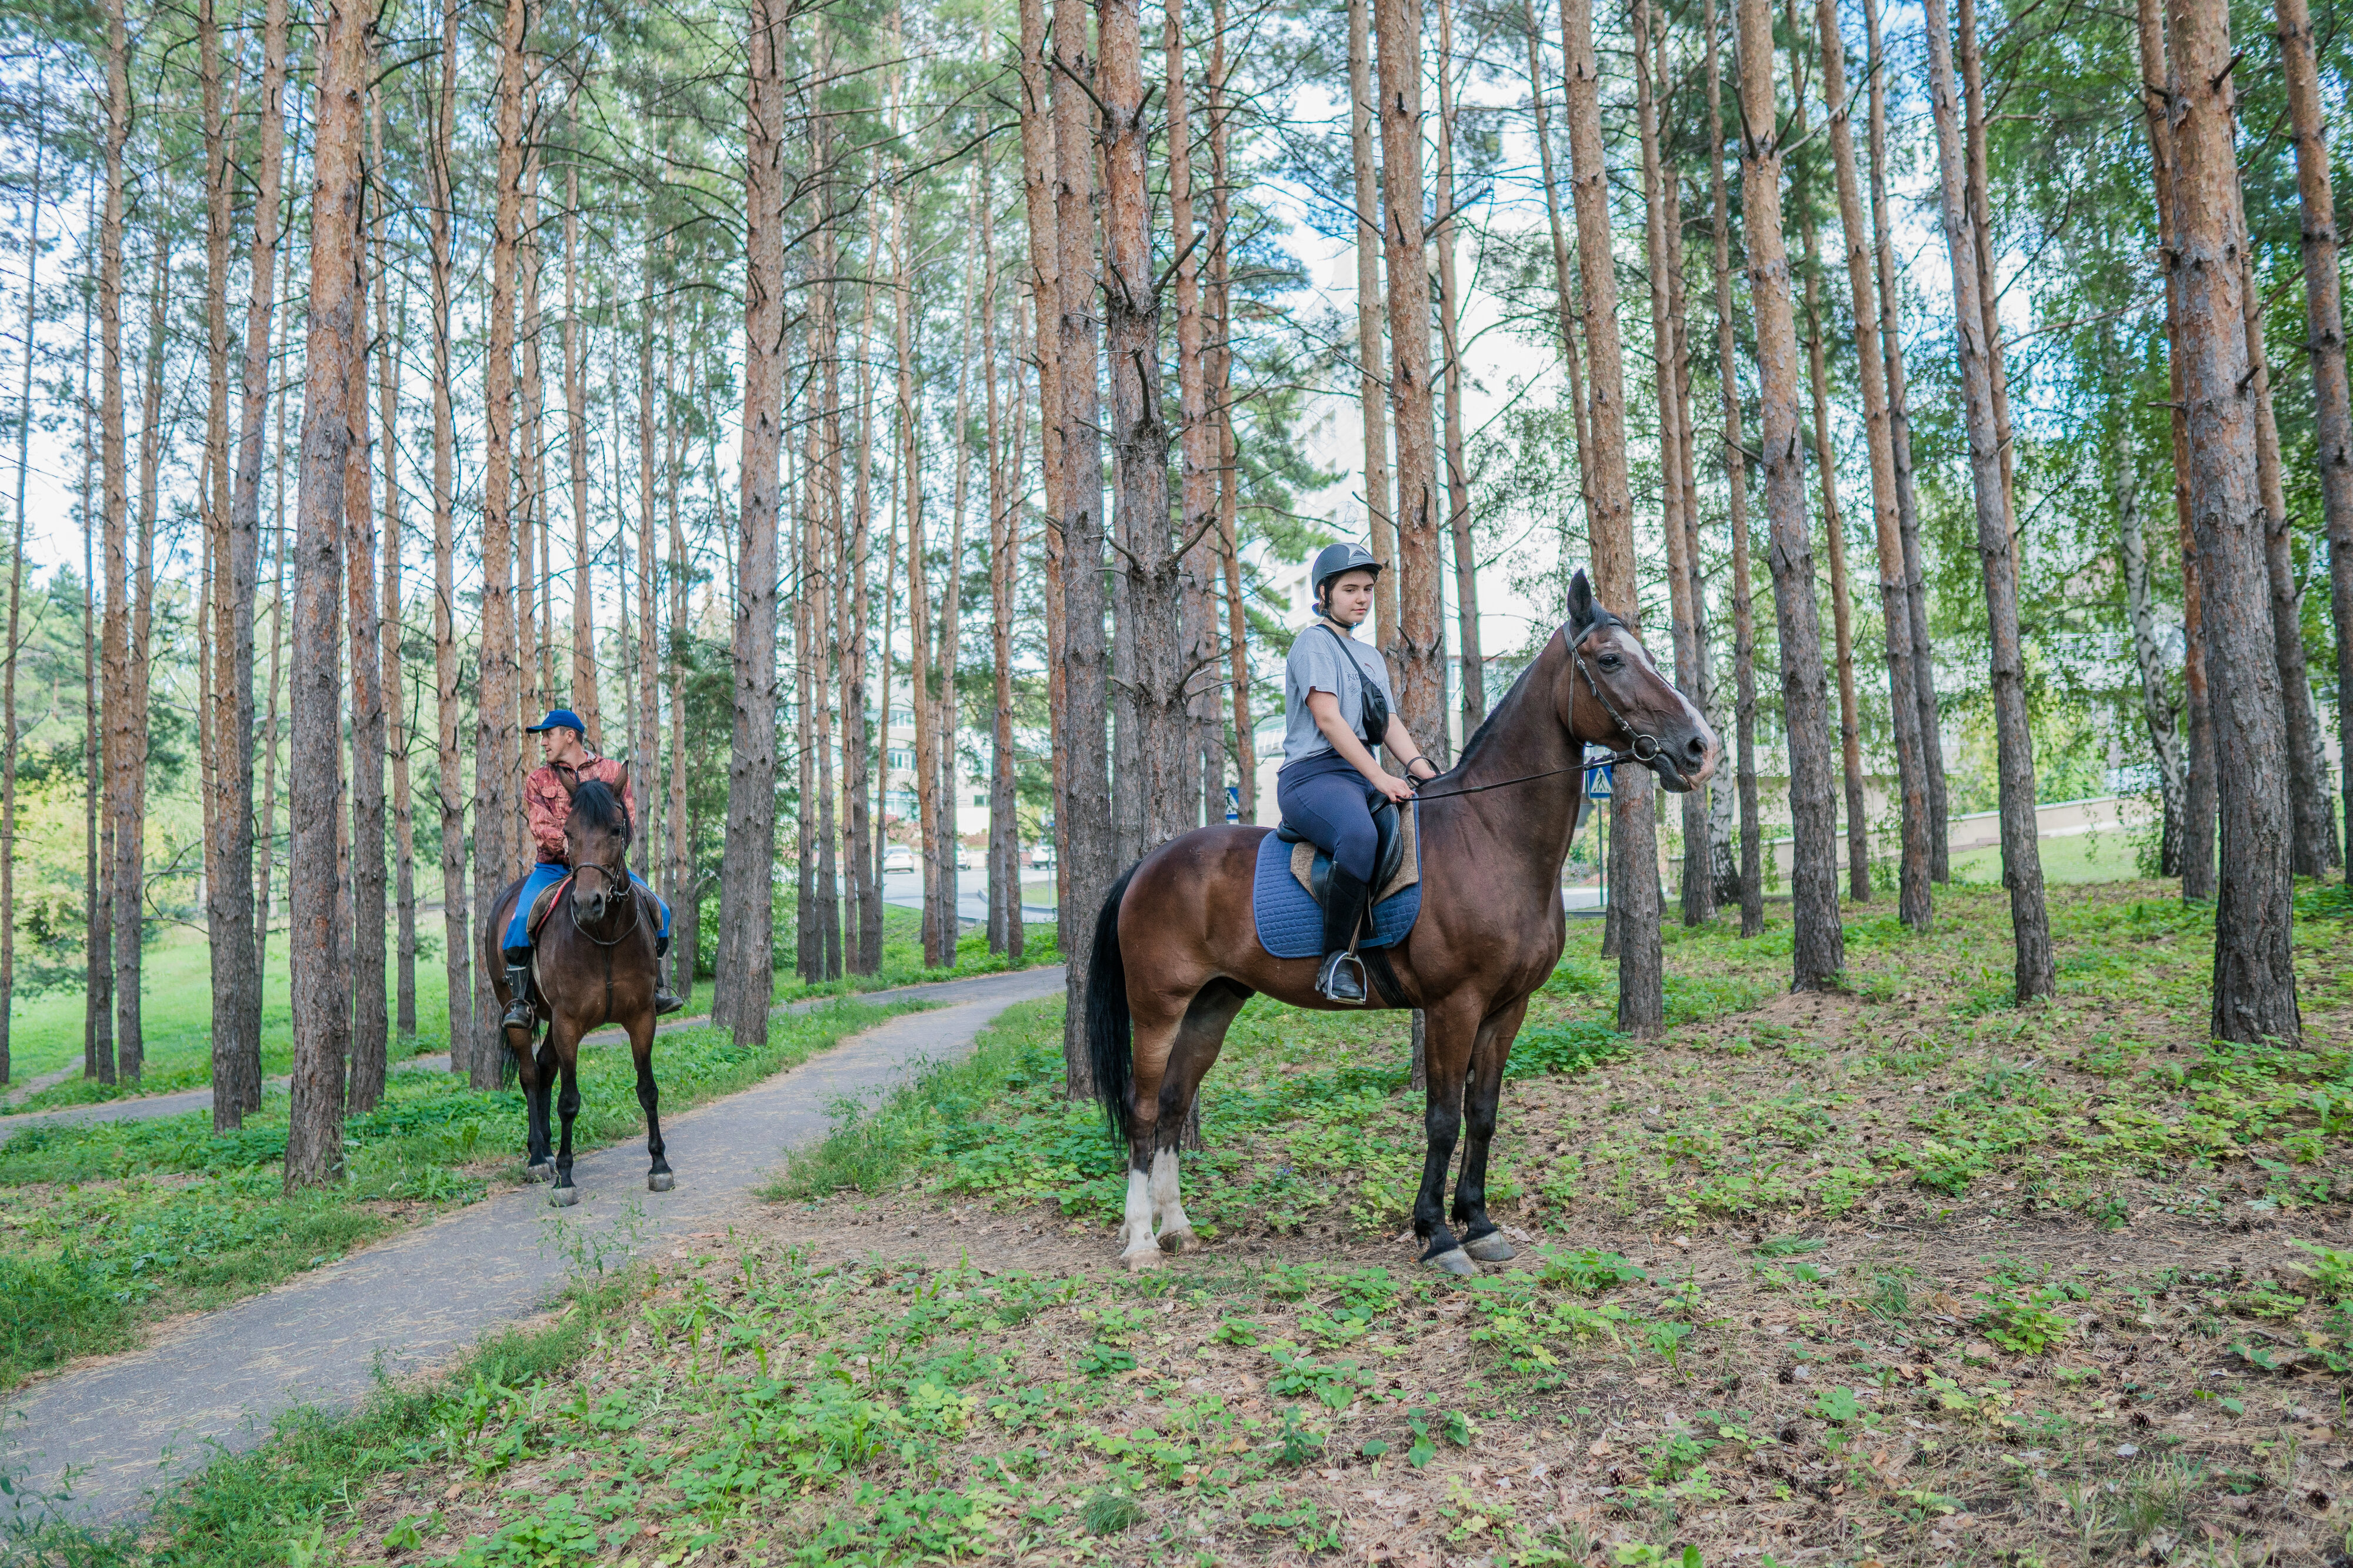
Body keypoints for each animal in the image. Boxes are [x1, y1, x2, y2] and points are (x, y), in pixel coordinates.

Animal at [478, 776, 664, 1200]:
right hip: (521, 1014)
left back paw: (546, 1149)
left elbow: (647, 1089)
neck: (604, 936)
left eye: (616, 829)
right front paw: (565, 1177)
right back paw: (537, 1159)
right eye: (568, 833)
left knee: (545, 1068)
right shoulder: (568, 1023)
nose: (587, 903)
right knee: (531, 1075)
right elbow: (569, 1100)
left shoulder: (642, 1017)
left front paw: (660, 1165)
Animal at [1078, 574, 1713, 1271]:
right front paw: (1437, 1235)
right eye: (1611, 660)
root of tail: (1149, 863)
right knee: (1141, 1108)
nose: (1699, 748)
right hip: (1158, 1004)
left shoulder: (1507, 1006)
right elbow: (1441, 1118)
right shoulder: (1453, 1004)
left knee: (1172, 1104)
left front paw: (1479, 1223)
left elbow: (1482, 1113)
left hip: (1212, 1003)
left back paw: (1178, 1226)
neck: (1492, 836)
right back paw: (1141, 1240)